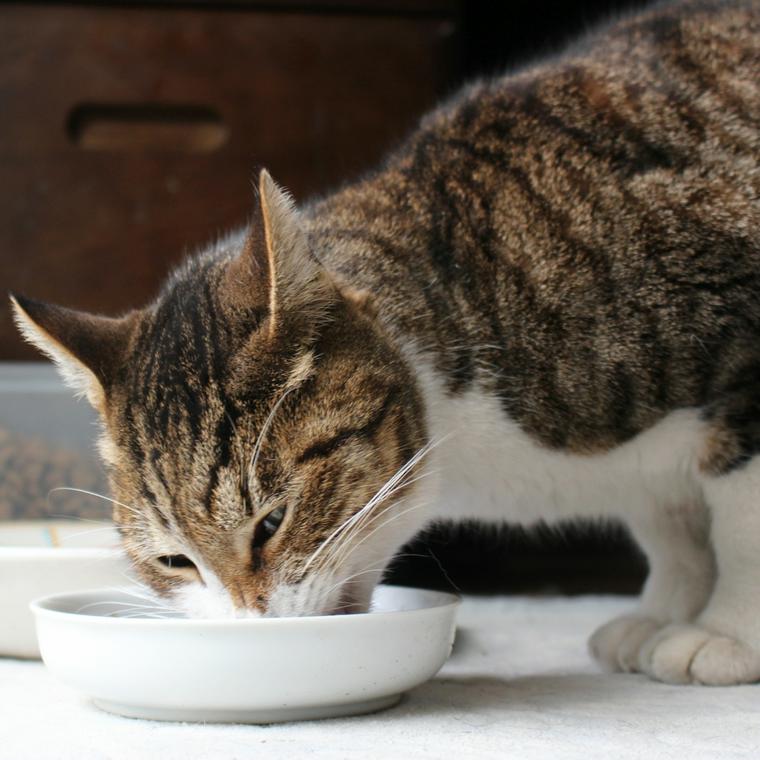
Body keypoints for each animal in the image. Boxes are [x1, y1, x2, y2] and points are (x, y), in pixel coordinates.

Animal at [10, 0, 760, 688]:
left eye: (272, 522)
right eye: (174, 561)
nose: (253, 622)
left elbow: (738, 528)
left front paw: (723, 635)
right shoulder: (653, 482)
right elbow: (670, 529)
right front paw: (663, 612)